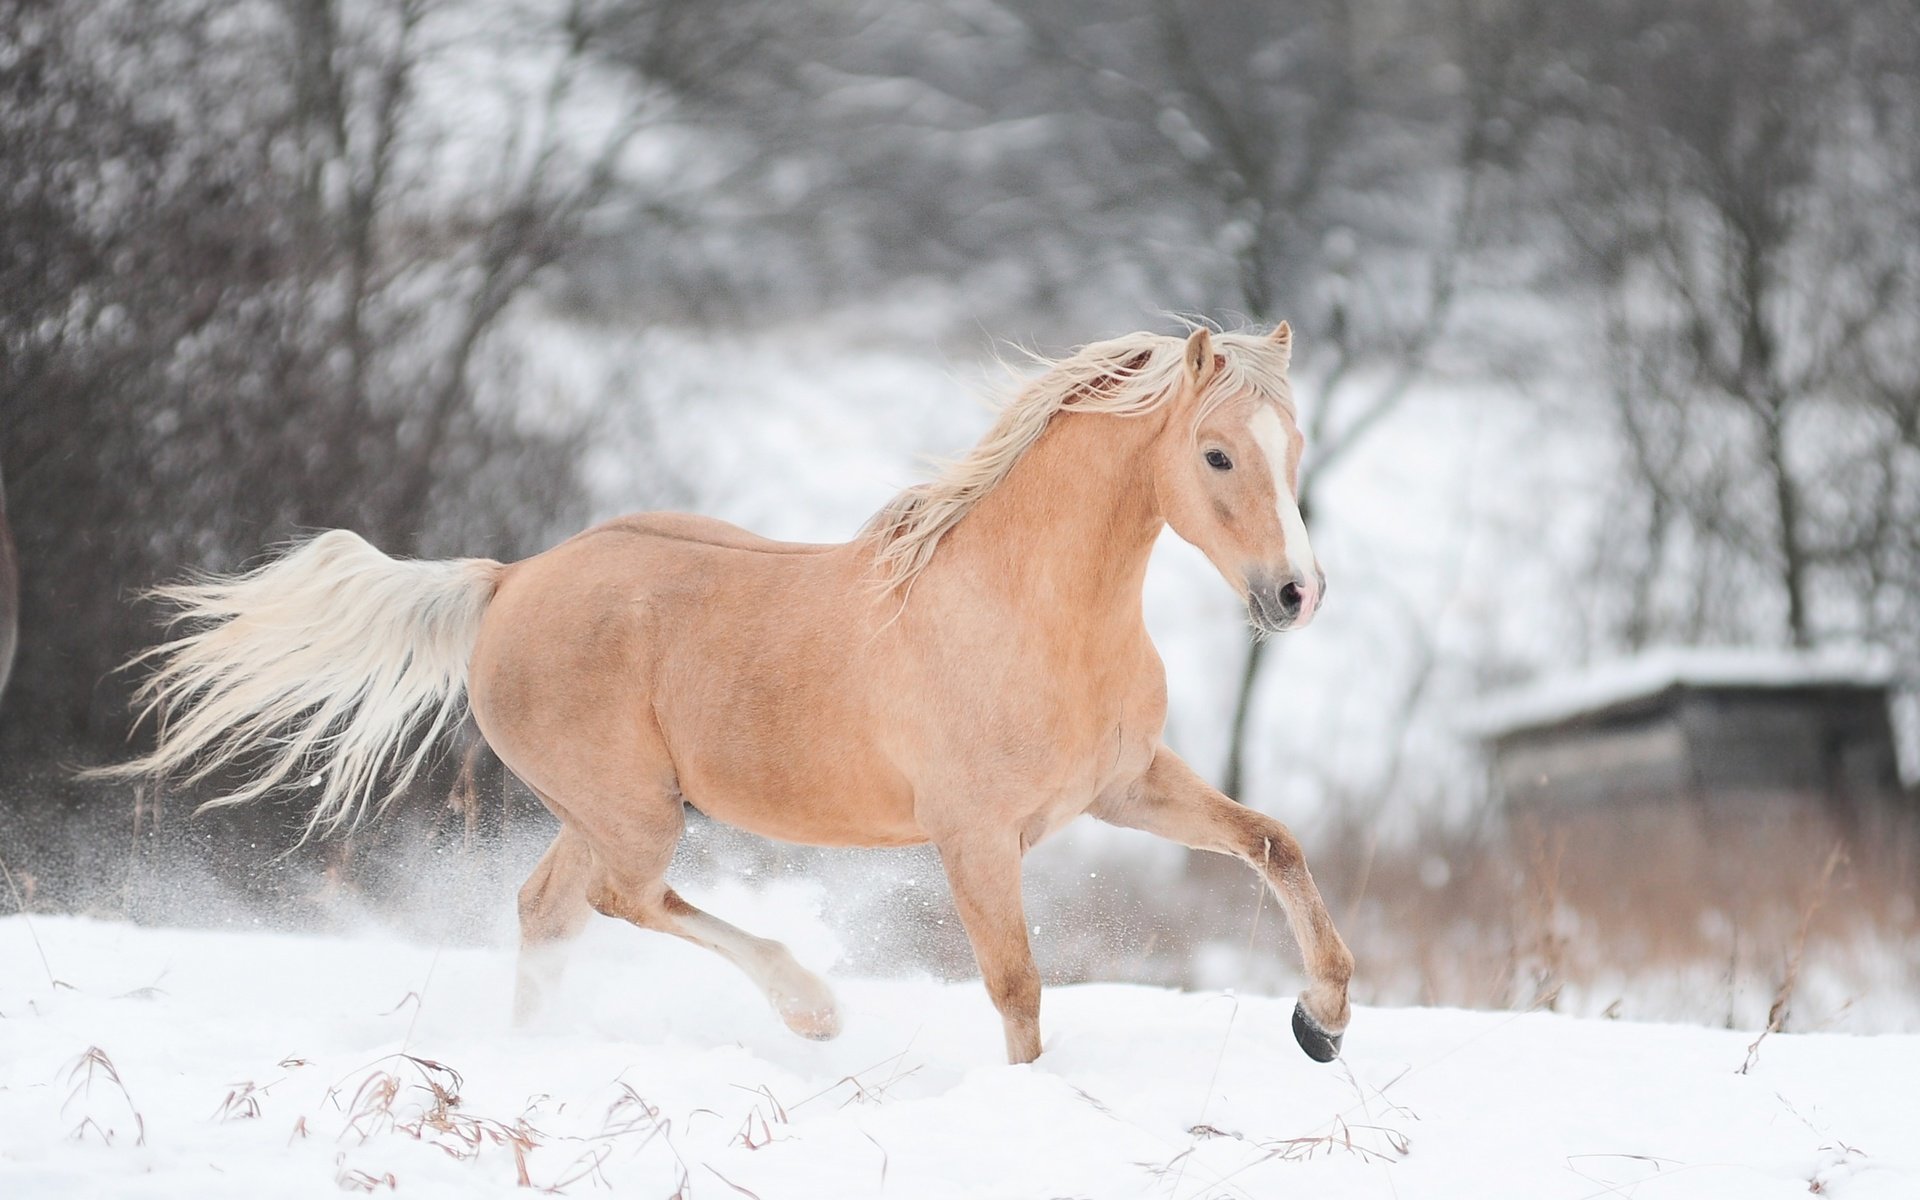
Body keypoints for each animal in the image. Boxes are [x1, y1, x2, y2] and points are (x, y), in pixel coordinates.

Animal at [112, 322, 1359, 1059]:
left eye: (1294, 444)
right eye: (1216, 455)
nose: (1297, 593)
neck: (1027, 610)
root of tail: (507, 581)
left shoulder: (1125, 787)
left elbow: (1276, 841)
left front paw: (1324, 1019)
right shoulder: (973, 836)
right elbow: (1018, 988)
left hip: (598, 811)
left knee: (549, 910)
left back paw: (535, 1060)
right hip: (634, 810)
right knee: (619, 900)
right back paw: (808, 1006)